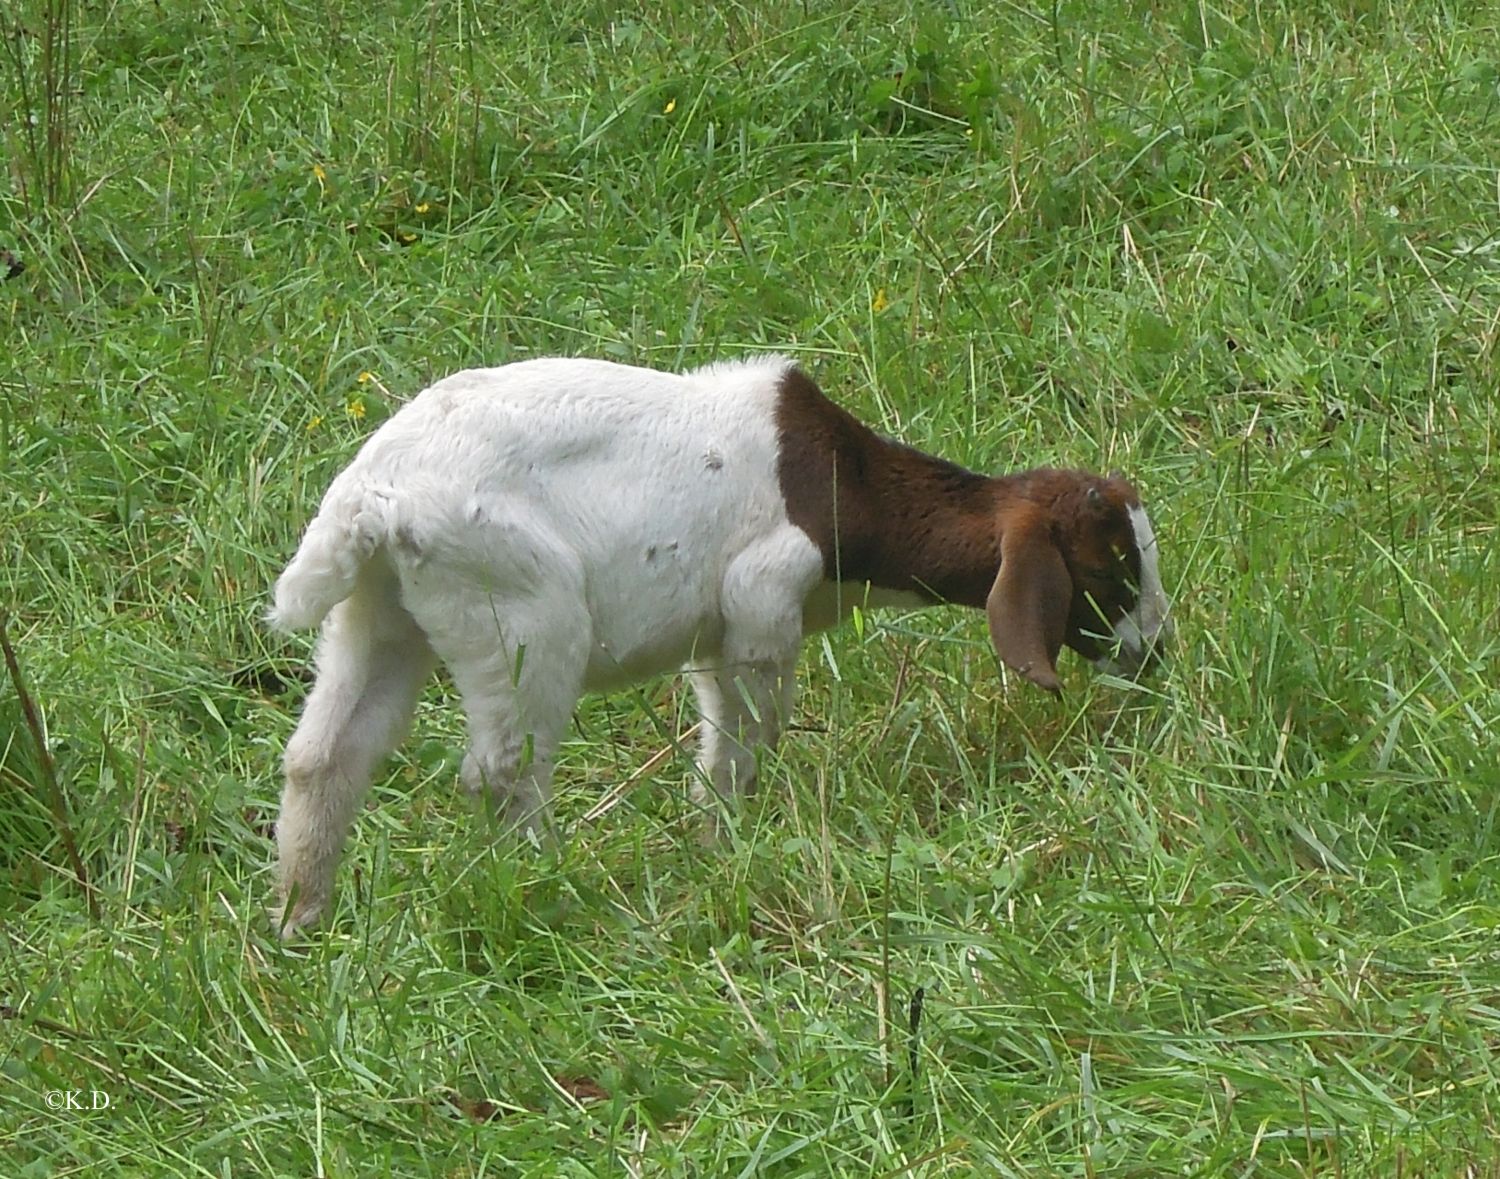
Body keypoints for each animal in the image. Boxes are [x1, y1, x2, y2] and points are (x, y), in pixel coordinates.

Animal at [267, 354, 1170, 930]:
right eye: (1110, 566)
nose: (1154, 651)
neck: (843, 484)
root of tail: (372, 499)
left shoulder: (716, 631)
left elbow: (721, 735)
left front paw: (714, 840)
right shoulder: (762, 594)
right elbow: (753, 732)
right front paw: (737, 840)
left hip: (382, 614)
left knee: (325, 756)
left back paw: (301, 917)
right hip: (521, 609)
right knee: (502, 768)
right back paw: (548, 879)